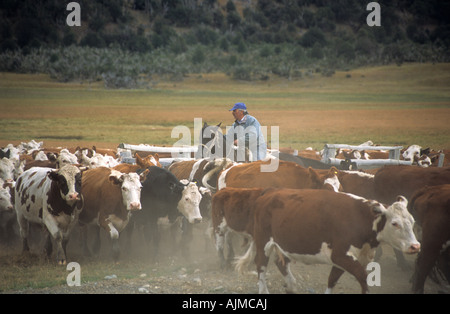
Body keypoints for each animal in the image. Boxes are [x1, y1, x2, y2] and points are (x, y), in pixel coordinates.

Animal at [237, 189, 420, 294]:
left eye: (413, 221)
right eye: (395, 223)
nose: (415, 246)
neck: (362, 219)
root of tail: (266, 195)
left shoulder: (343, 260)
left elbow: (332, 279)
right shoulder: (340, 256)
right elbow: (363, 277)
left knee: (281, 263)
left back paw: (291, 286)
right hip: (263, 241)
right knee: (261, 264)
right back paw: (264, 291)